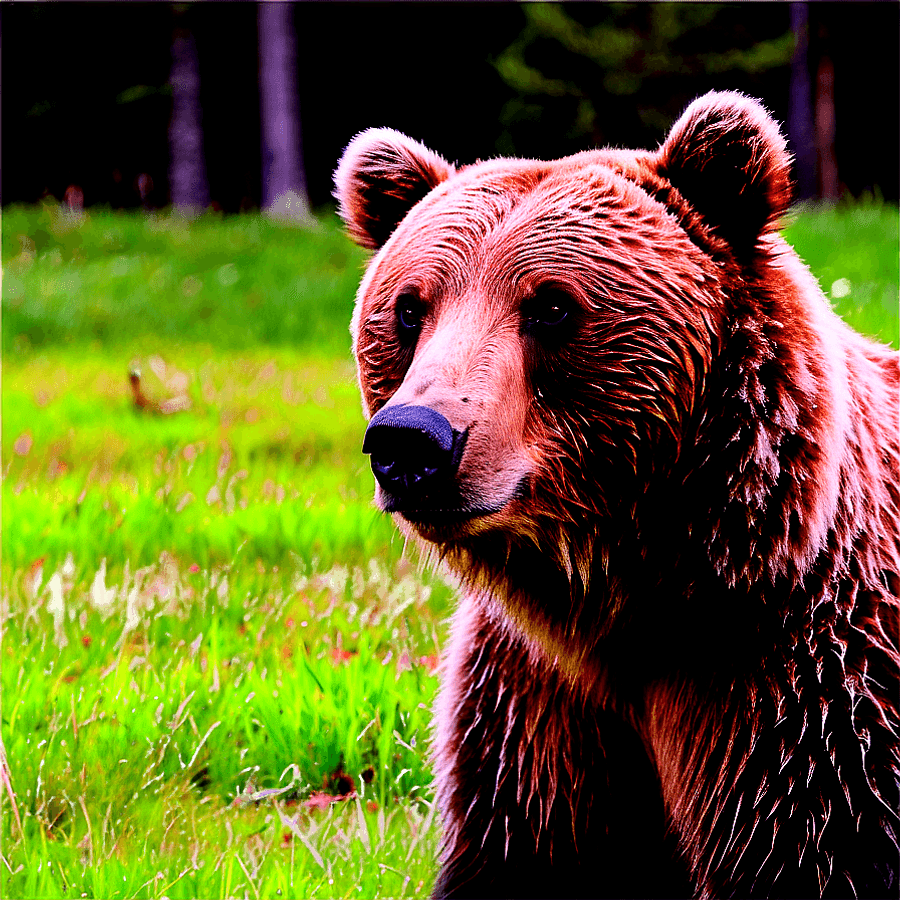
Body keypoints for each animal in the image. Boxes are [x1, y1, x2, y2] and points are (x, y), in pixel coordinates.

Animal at [333, 92, 900, 898]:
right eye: (411, 307)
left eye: (550, 307)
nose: (412, 441)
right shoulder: (539, 716)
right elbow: (525, 850)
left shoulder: (811, 701)